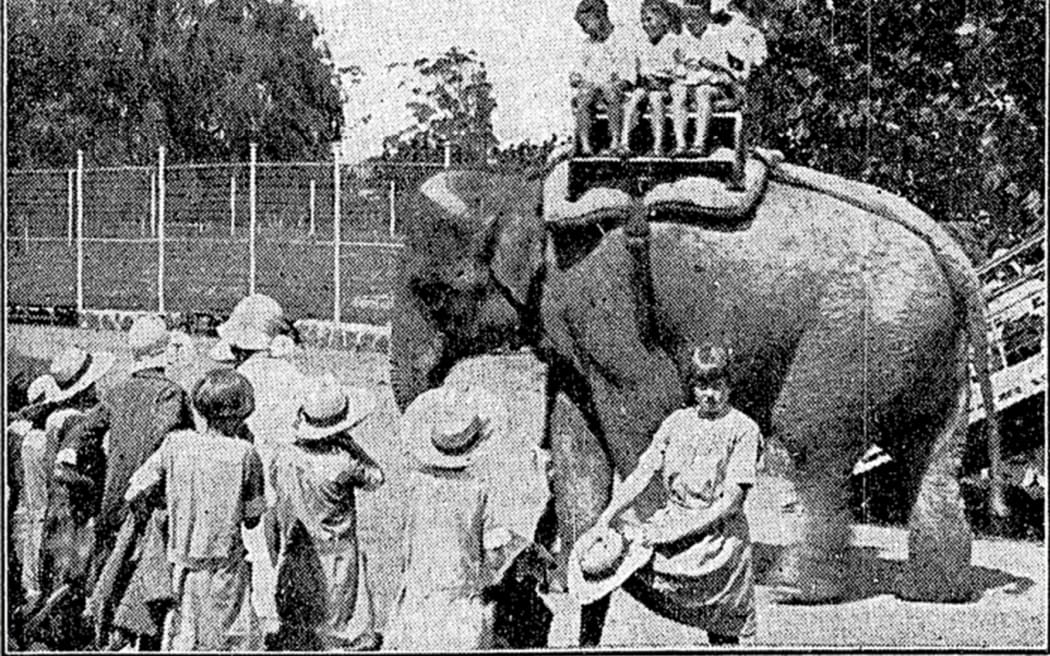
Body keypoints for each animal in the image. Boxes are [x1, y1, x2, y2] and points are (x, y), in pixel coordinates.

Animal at [390, 159, 1003, 646]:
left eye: (432, 293)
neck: (522, 190)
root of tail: (950, 254)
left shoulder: (605, 302)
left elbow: (641, 410)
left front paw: (643, 564)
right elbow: (572, 434)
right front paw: (572, 574)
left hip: (856, 335)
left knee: (812, 446)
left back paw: (794, 591)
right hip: (925, 342)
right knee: (932, 454)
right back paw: (933, 592)